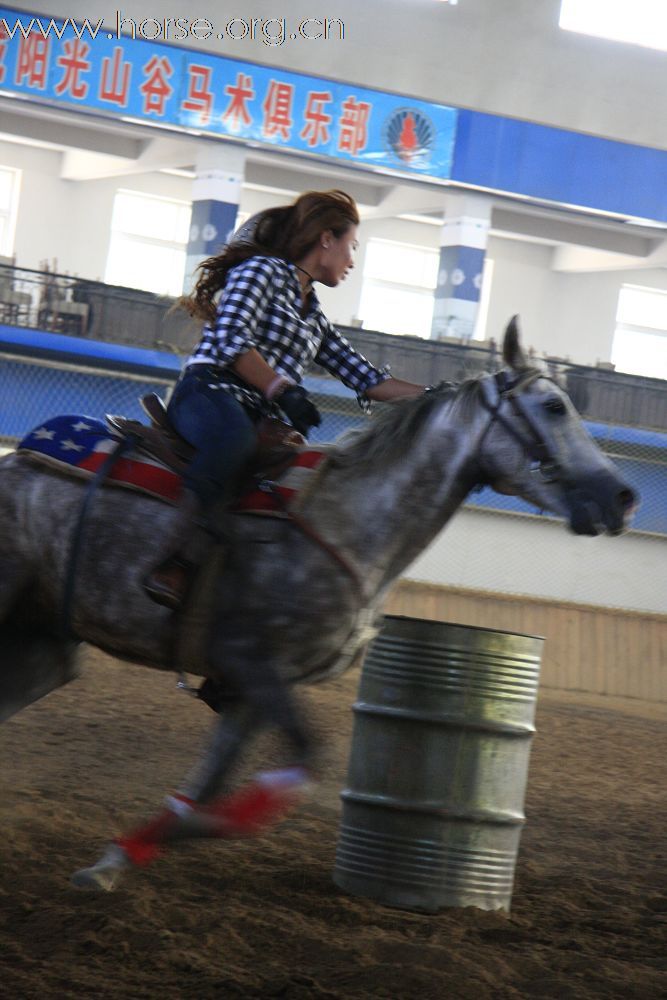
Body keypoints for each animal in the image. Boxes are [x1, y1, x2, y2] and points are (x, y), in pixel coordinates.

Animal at [0, 316, 636, 888]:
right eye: (553, 407)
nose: (622, 497)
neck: (348, 522)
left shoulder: (252, 691)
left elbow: (211, 782)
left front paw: (120, 858)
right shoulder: (251, 662)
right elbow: (302, 762)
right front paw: (180, 836)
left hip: (47, 647)